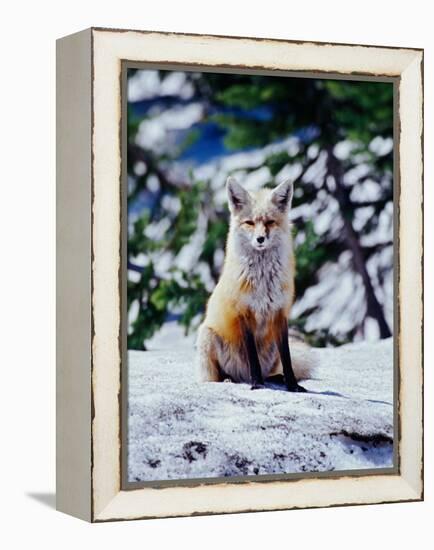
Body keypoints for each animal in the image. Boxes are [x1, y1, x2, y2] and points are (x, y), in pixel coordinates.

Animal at [198, 177, 316, 392]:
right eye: (250, 223)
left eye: (270, 222)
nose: (260, 239)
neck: (263, 281)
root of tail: (241, 376)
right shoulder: (244, 312)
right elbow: (252, 356)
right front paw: (257, 384)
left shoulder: (280, 313)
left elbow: (287, 358)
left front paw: (292, 385)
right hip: (207, 336)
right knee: (219, 377)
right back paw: (230, 379)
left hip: (271, 350)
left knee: (272, 370)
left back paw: (276, 378)